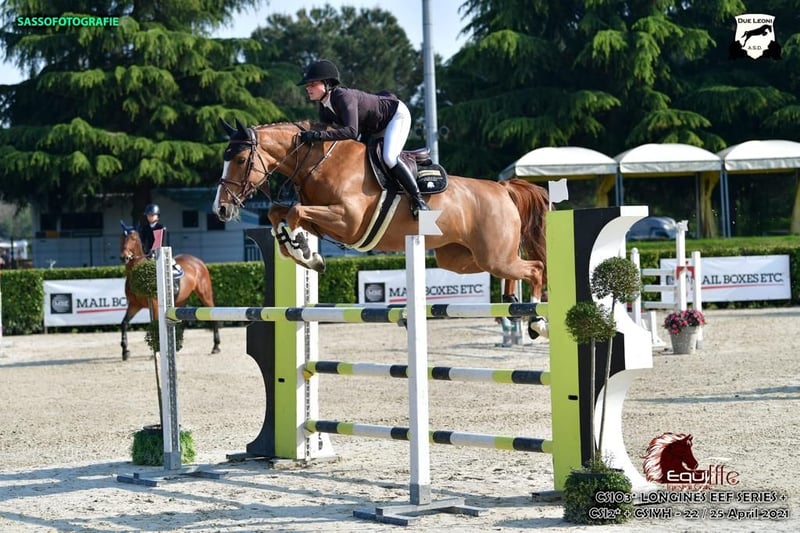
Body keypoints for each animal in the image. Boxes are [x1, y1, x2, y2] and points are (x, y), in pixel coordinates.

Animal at [119, 224, 220, 361]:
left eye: (134, 238)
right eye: (121, 237)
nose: (124, 257)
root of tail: (198, 261)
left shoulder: (155, 305)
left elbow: (156, 325)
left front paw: (156, 351)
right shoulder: (134, 305)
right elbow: (124, 323)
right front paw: (125, 351)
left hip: (204, 295)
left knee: (213, 316)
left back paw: (216, 346)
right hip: (180, 300)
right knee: (182, 322)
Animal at [213, 119, 549, 337]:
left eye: (240, 159)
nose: (221, 209)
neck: (318, 161)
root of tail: (502, 188)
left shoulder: (347, 221)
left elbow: (293, 211)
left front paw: (305, 252)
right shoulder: (324, 219)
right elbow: (278, 213)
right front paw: (303, 251)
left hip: (493, 255)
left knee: (535, 268)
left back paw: (536, 320)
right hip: (462, 258)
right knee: (512, 271)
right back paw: (511, 302)